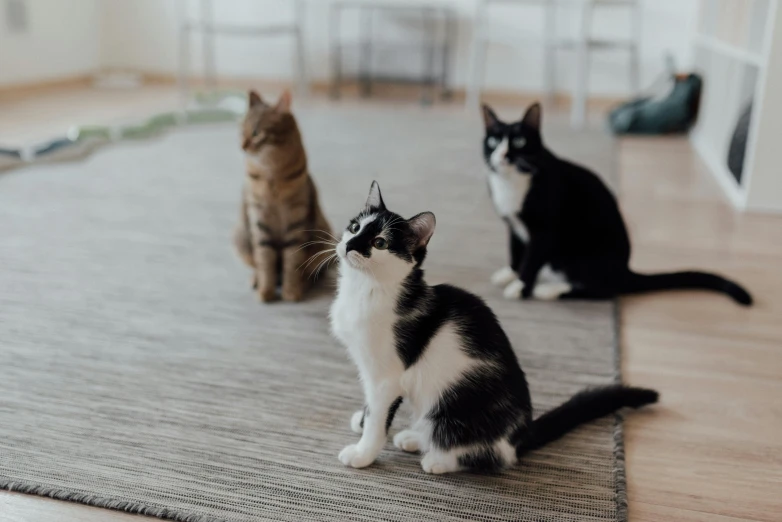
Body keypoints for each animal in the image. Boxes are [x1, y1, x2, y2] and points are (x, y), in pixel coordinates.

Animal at [233, 89, 330, 300]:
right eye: (241, 131)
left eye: (256, 133)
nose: (242, 146)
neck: (272, 174)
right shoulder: (259, 218)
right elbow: (265, 259)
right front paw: (265, 292)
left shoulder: (296, 219)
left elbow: (292, 261)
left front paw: (291, 292)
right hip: (241, 238)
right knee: (257, 264)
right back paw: (256, 280)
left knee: (310, 271)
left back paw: (303, 284)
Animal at [328, 180, 660, 472]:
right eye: (355, 227)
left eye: (379, 243)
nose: (349, 245)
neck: (365, 290)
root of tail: (521, 434)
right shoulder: (368, 369)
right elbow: (371, 406)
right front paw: (362, 419)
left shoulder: (387, 376)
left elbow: (379, 418)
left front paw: (363, 452)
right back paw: (414, 436)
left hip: (453, 409)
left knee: (495, 456)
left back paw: (439, 459)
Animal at [484, 102, 752, 304]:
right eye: (493, 142)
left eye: (519, 141)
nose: (503, 155)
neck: (513, 182)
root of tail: (624, 271)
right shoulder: (514, 225)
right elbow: (516, 252)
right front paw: (509, 274)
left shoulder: (544, 232)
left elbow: (531, 260)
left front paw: (521, 287)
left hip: (579, 255)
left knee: (603, 291)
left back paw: (549, 291)